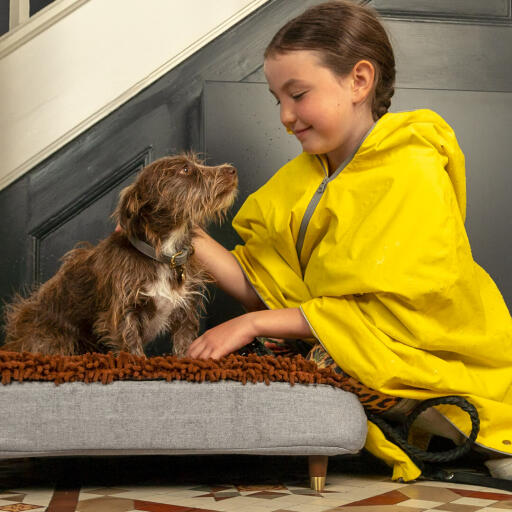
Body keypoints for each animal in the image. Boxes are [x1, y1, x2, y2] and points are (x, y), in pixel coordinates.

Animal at [1, 154, 238, 358]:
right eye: (185, 169)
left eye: (196, 163)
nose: (232, 170)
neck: (163, 255)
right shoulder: (123, 315)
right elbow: (133, 350)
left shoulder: (184, 312)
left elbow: (183, 347)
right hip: (53, 339)